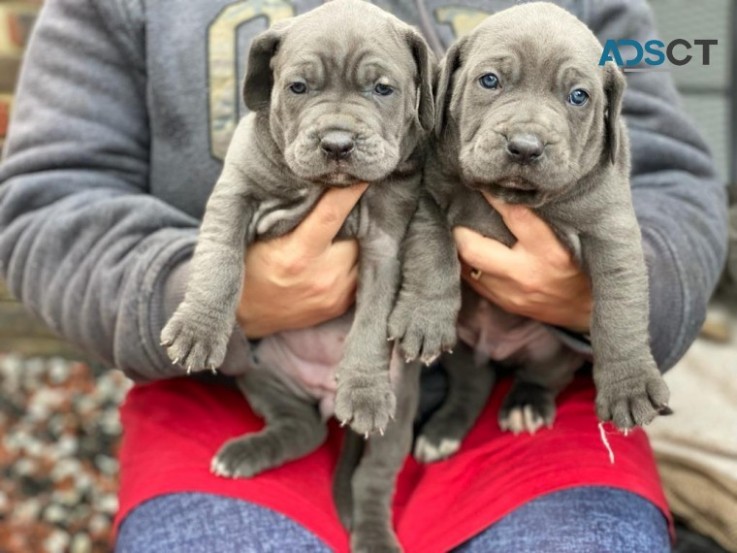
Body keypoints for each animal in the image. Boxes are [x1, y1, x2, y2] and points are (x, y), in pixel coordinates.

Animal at [160, 2, 432, 548]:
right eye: (298, 87)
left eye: (383, 89)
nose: (337, 142)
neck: (323, 186)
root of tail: (323, 400)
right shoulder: (236, 193)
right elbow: (219, 261)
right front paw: (198, 329)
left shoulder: (385, 244)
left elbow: (372, 319)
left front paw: (363, 387)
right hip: (260, 372)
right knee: (302, 427)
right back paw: (246, 454)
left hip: (398, 419)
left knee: (373, 478)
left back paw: (374, 534)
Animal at [392, 2, 672, 452]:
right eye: (490, 80)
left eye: (578, 96)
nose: (525, 147)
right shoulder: (426, 196)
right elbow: (432, 251)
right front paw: (424, 317)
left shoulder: (611, 230)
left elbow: (619, 307)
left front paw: (629, 385)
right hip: (465, 348)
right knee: (472, 382)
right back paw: (443, 431)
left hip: (554, 353)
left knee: (539, 377)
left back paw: (526, 405)